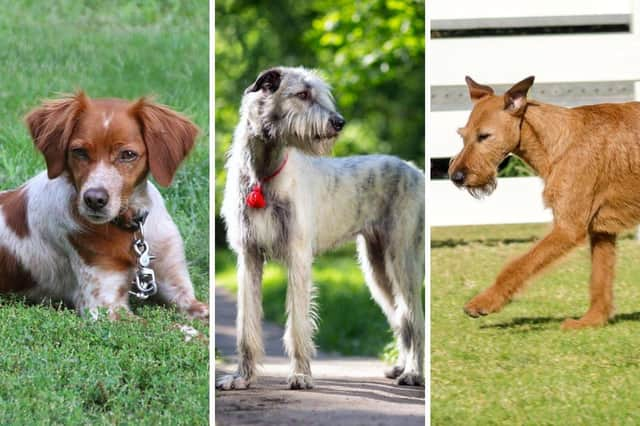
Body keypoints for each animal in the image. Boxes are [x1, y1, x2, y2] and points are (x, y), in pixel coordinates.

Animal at [0, 92, 209, 320]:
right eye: (79, 152)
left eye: (128, 154)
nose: (94, 199)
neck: (131, 228)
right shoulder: (104, 307)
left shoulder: (177, 287)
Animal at [220, 65, 424, 390]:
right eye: (303, 94)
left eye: (321, 94)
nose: (339, 122)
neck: (263, 175)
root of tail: (415, 169)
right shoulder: (249, 255)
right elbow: (246, 324)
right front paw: (242, 377)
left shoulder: (298, 254)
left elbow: (298, 323)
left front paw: (301, 375)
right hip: (376, 266)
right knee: (400, 317)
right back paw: (402, 367)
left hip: (403, 257)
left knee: (414, 318)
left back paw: (414, 372)